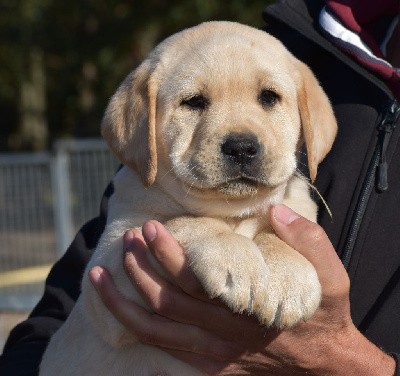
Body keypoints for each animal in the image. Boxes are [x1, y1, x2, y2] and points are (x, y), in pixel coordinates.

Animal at [40, 21, 336, 376]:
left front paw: (289, 278)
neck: (232, 212)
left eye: (268, 97)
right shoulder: (106, 279)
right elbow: (186, 221)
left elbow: (275, 232)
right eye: (193, 102)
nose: (241, 147)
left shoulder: (294, 209)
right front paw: (234, 259)